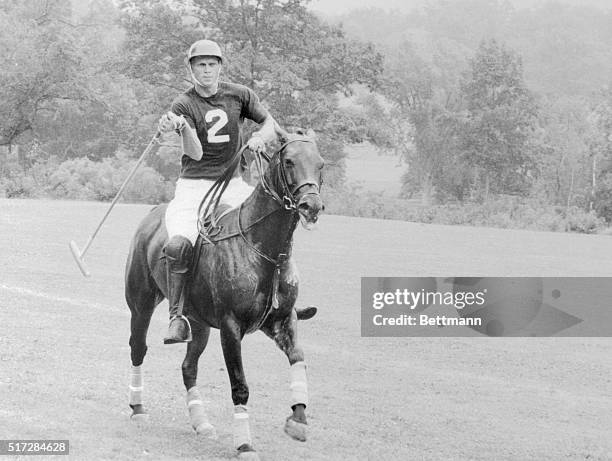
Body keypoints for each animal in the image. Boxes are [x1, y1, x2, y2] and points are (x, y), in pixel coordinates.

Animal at [123, 131, 326, 458]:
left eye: (320, 164)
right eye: (289, 161)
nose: (311, 206)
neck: (267, 251)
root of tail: (153, 212)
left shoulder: (281, 320)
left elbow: (298, 358)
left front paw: (298, 420)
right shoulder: (231, 326)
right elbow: (240, 385)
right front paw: (245, 444)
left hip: (198, 322)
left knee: (188, 367)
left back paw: (201, 422)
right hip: (141, 303)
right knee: (138, 348)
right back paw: (138, 407)